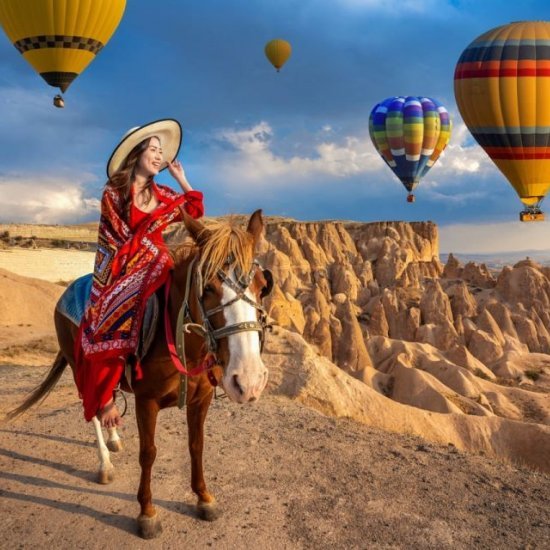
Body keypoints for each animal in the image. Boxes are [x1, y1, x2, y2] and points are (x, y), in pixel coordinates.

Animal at [7, 209, 274, 540]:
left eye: (262, 286)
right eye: (208, 288)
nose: (249, 380)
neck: (181, 341)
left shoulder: (202, 399)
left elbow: (196, 446)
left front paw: (204, 498)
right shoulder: (146, 402)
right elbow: (148, 453)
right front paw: (147, 513)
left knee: (105, 397)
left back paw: (114, 438)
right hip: (77, 365)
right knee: (91, 410)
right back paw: (105, 463)